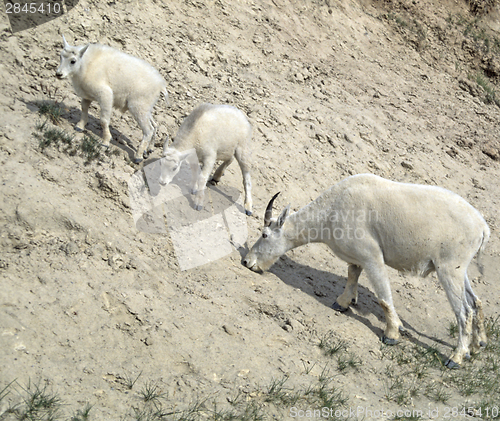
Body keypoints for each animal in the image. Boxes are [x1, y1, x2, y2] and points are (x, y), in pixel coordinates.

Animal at [244, 172, 490, 366]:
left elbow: (384, 298)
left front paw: (392, 334)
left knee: (464, 312)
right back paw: (477, 345)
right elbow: (352, 275)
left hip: (448, 269)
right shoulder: (357, 257)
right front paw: (343, 303)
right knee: (476, 302)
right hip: (460, 269)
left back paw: (456, 357)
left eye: (264, 234)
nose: (247, 262)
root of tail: (482, 228)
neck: (332, 211)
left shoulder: (372, 257)